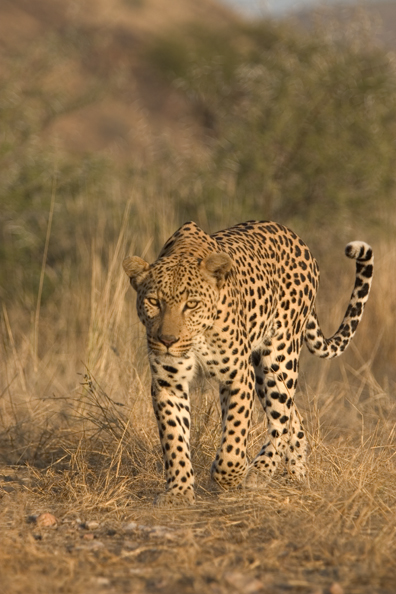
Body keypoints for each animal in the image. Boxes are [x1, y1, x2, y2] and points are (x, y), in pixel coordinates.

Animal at [124, 222, 374, 504]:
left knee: (280, 417)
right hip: (263, 370)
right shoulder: (169, 382)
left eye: (192, 304)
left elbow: (234, 432)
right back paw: (296, 475)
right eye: (153, 302)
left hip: (278, 359)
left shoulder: (237, 375)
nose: (167, 340)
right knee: (293, 415)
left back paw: (259, 471)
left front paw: (229, 475)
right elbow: (174, 439)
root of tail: (296, 238)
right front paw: (178, 491)